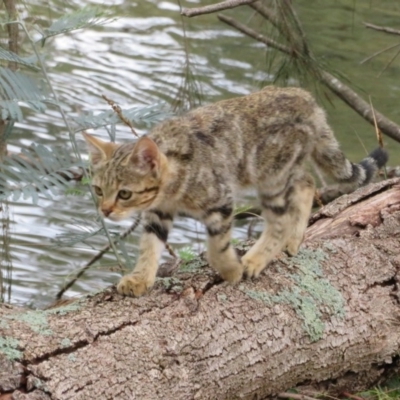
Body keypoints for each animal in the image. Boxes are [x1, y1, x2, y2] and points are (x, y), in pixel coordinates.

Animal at [83, 85, 388, 296]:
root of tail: (306, 98)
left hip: (272, 178)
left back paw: (256, 258)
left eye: (124, 194)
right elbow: (149, 247)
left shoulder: (220, 200)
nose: (105, 210)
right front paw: (140, 279)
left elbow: (217, 248)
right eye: (98, 190)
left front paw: (230, 270)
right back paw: (294, 238)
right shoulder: (158, 213)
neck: (173, 186)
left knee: (281, 220)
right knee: (307, 183)